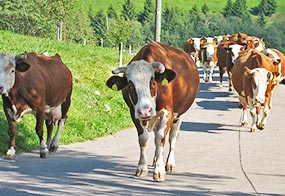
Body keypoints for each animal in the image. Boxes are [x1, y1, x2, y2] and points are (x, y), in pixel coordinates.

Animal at [105, 41, 199, 182]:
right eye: (131, 85)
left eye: (153, 83)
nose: (145, 111)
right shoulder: (134, 113)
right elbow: (143, 139)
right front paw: (142, 168)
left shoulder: (167, 113)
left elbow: (161, 139)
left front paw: (159, 171)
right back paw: (155, 159)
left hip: (179, 114)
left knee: (172, 137)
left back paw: (169, 163)